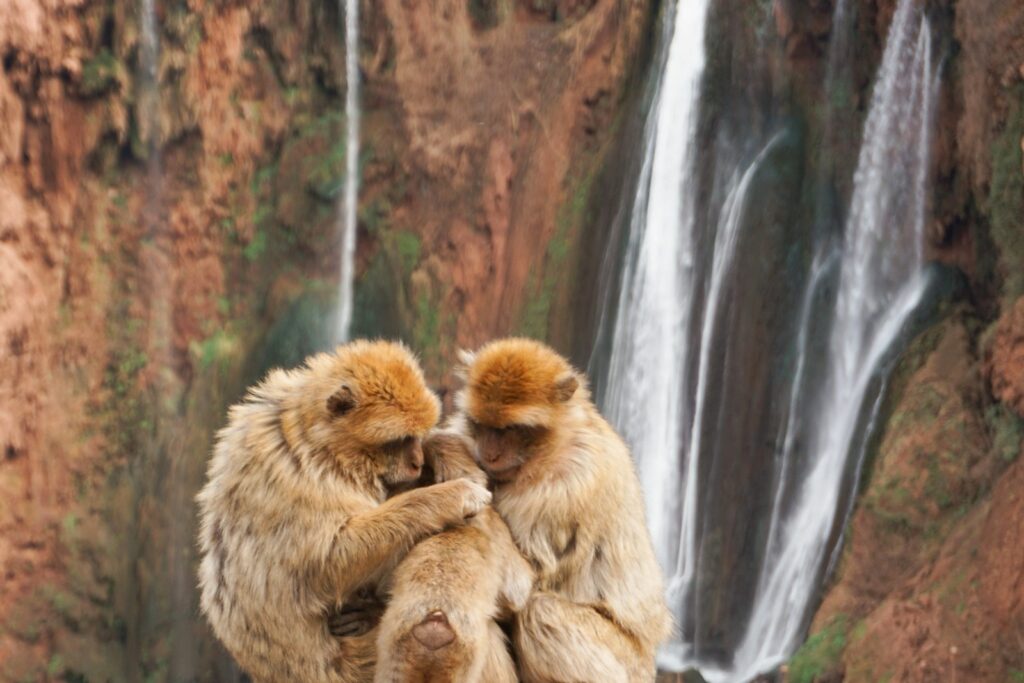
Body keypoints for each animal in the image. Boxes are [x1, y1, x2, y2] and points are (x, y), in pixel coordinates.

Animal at [196, 340, 492, 683]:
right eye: (400, 440)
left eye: (415, 436)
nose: (417, 462)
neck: (318, 444)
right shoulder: (297, 480)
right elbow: (327, 564)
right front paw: (452, 496)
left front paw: (443, 448)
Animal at [451, 337, 673, 682]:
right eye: (482, 425)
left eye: (510, 429)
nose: (489, 454)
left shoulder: (566, 487)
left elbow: (523, 584)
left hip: (627, 665)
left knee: (541, 611)